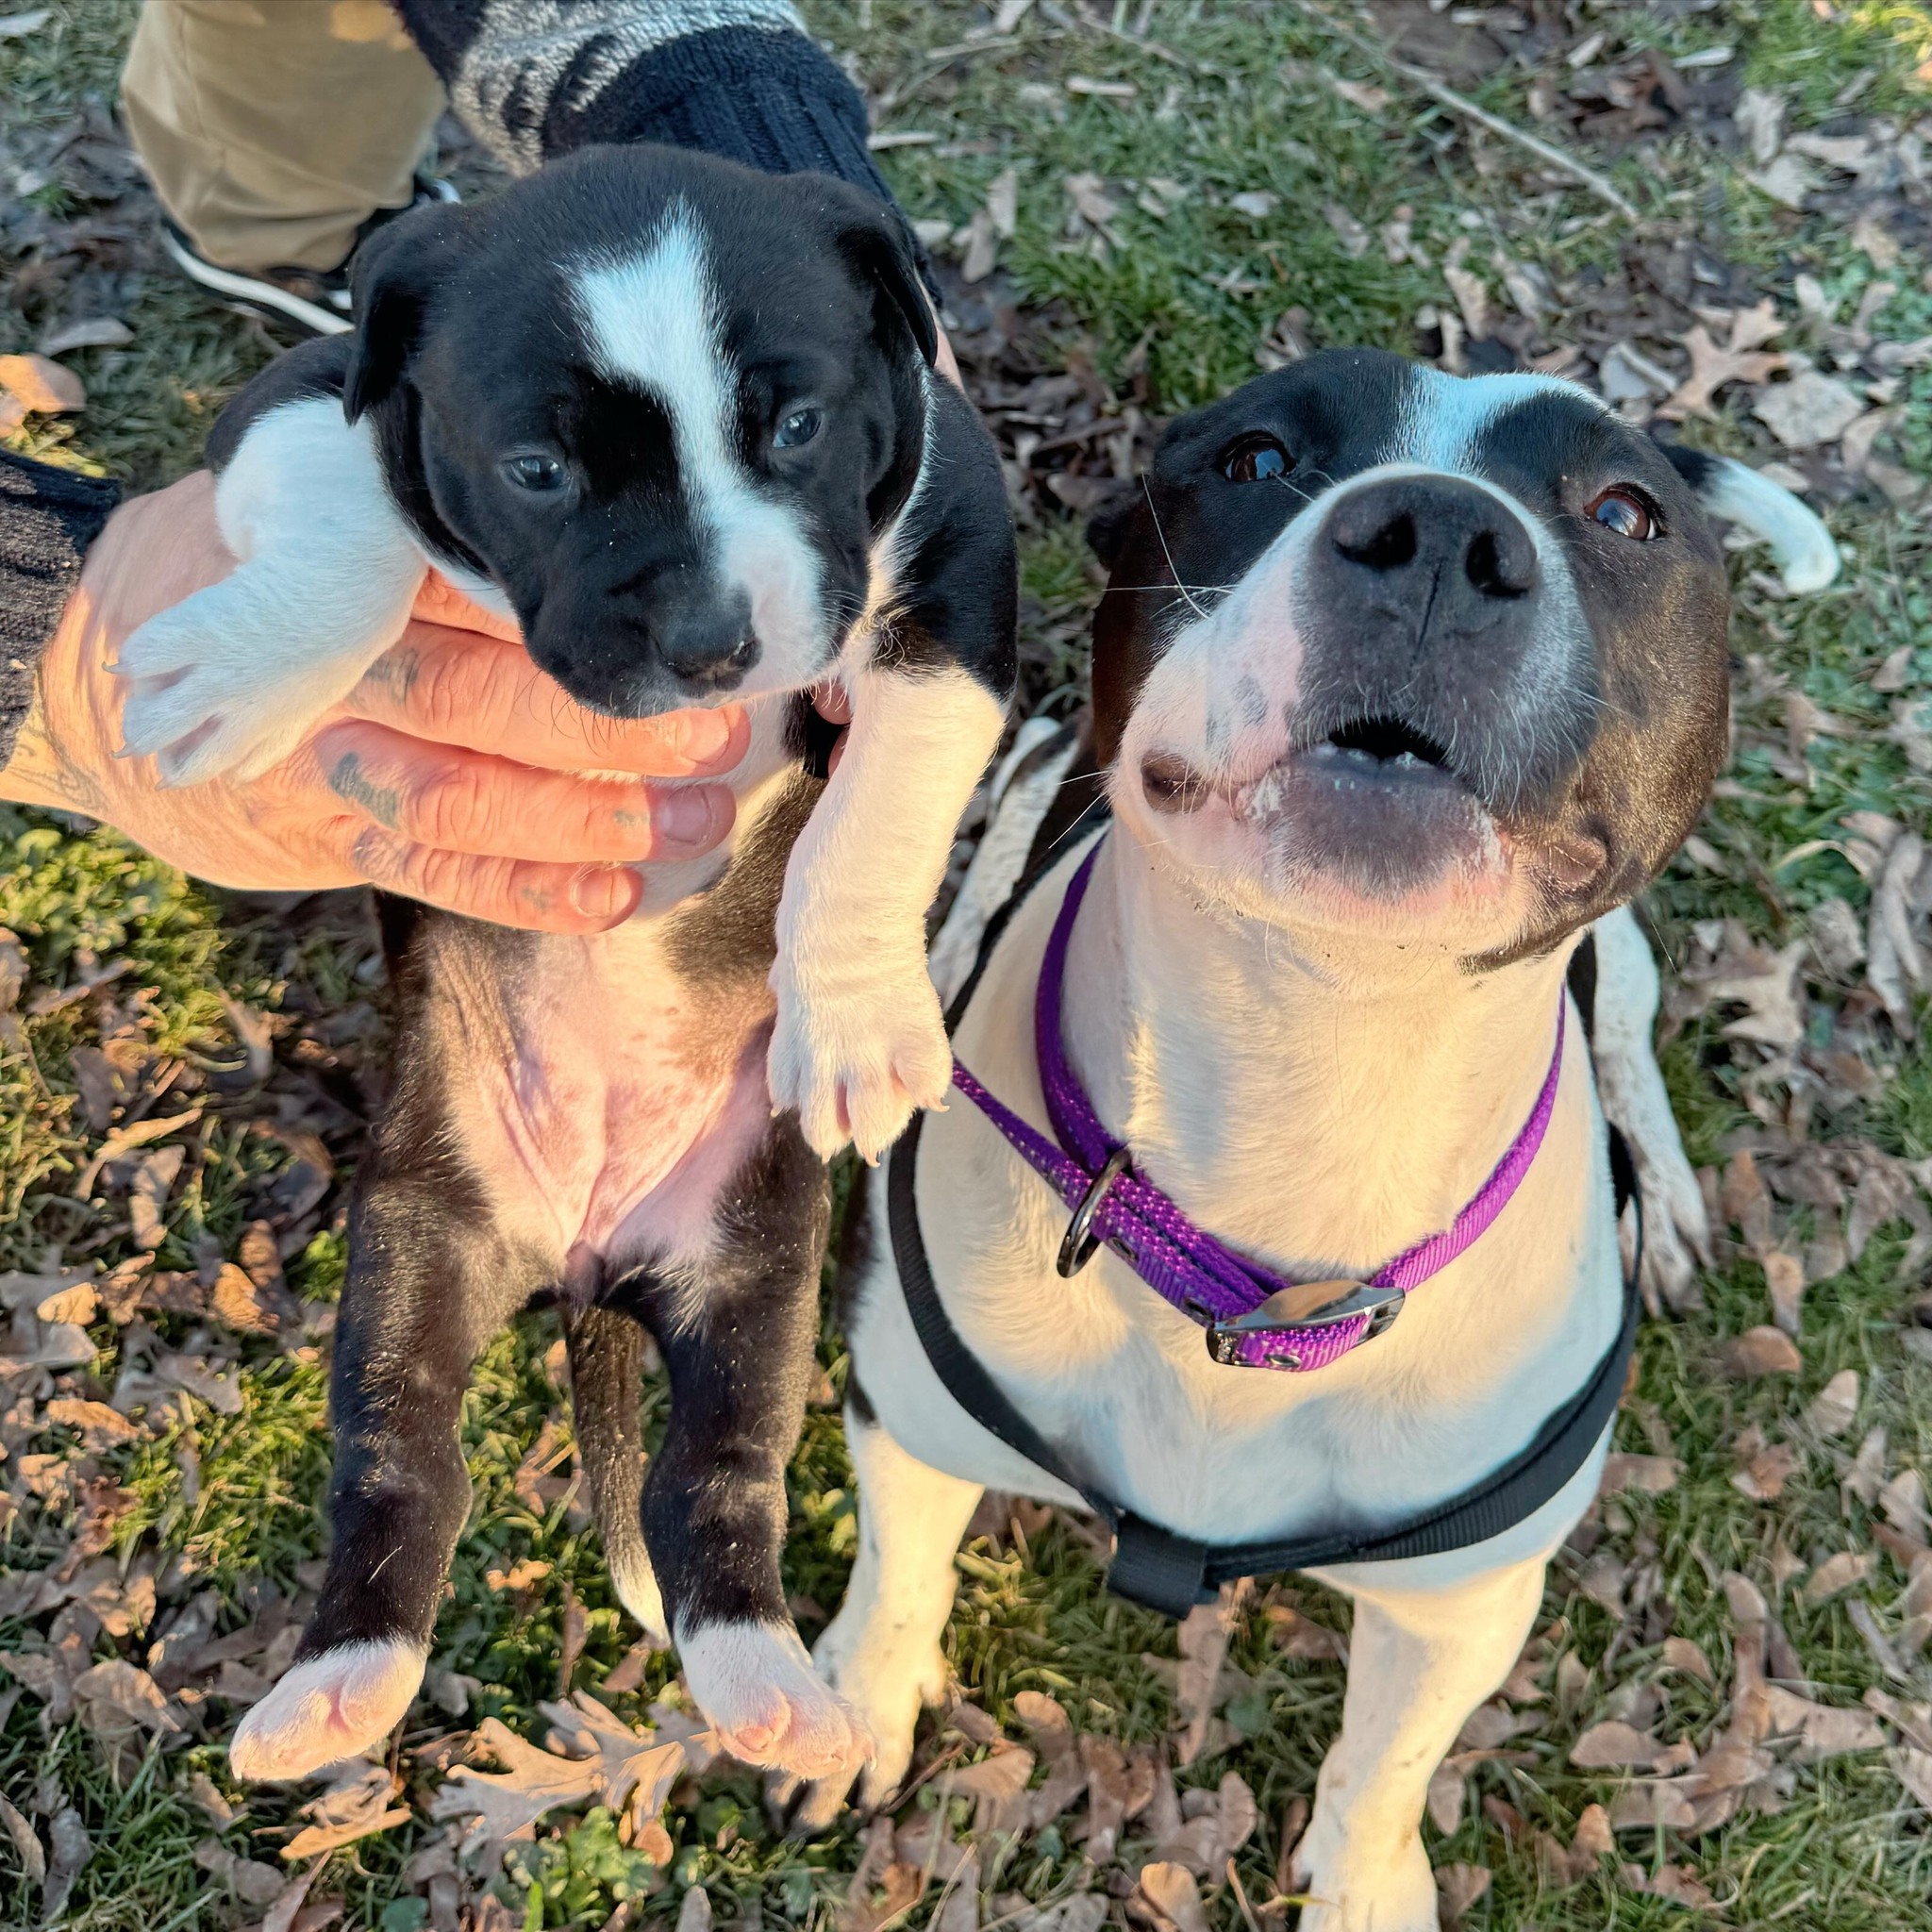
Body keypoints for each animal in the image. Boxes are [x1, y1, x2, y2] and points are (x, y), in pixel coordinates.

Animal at [109, 146, 1012, 1777]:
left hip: (754, 1273)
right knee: (402, 1471)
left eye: (796, 427)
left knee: (716, 1477)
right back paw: (338, 1684)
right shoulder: (308, 396)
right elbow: (349, 509)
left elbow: (891, 781)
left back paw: (769, 1686)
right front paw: (246, 665)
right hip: (418, 1256)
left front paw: (852, 1009)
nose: (713, 643)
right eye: (536, 472)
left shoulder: (954, 539)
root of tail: (587, 1259)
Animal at [791, 355, 1831, 1924]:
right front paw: (854, 1711)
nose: (1445, 540)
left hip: (1635, 963)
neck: (1307, 1084)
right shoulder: (907, 1417)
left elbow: (1384, 1767)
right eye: (1258, 456)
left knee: (1631, 1023)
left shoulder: (1465, 1605)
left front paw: (1364, 1884)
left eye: (1625, 511)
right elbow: (897, 1584)